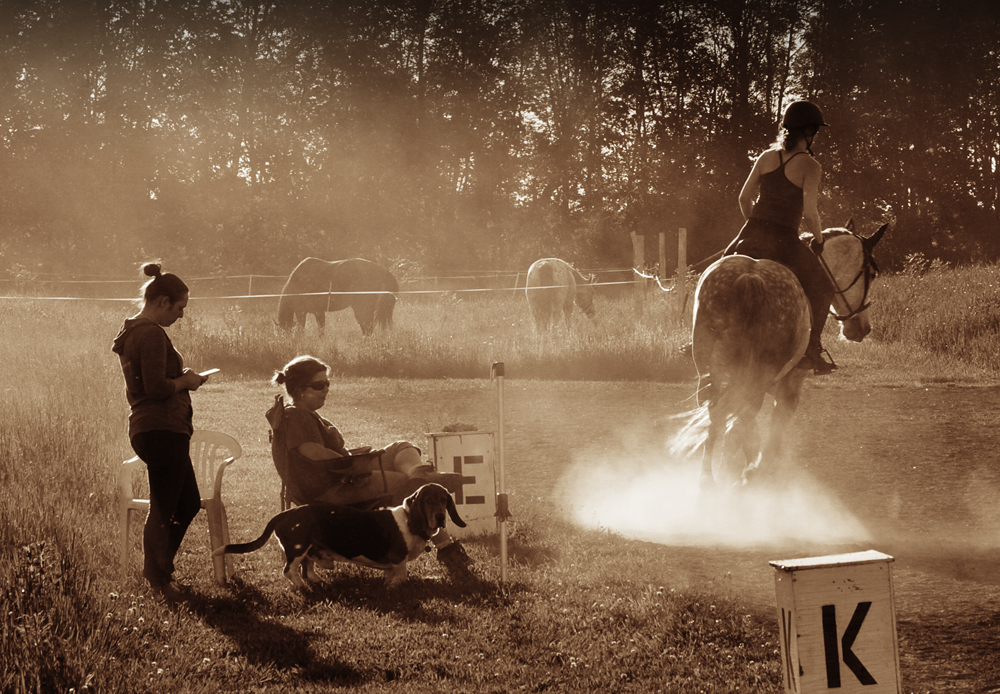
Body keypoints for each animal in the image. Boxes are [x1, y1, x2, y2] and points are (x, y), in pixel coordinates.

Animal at [676, 223, 888, 490]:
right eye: (872, 274)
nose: (863, 328)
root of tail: (751, 276)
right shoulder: (790, 387)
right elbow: (769, 437)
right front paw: (757, 471)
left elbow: (747, 429)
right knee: (733, 419)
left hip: (711, 370)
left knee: (718, 416)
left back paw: (710, 480)